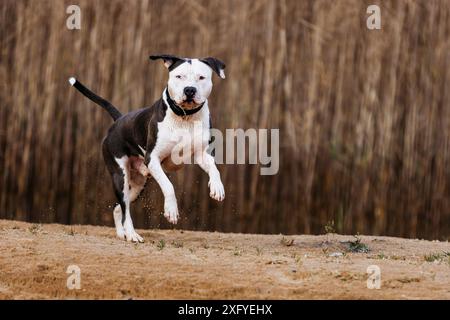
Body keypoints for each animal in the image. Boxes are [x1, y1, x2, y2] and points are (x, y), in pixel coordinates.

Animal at [69, 55, 225, 242]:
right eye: (179, 76)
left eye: (201, 77)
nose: (189, 90)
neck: (184, 117)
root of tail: (118, 120)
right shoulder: (153, 159)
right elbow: (168, 185)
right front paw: (171, 211)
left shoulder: (203, 154)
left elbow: (214, 169)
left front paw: (217, 187)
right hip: (120, 176)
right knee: (125, 210)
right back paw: (132, 234)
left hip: (137, 186)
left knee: (119, 208)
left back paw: (122, 233)